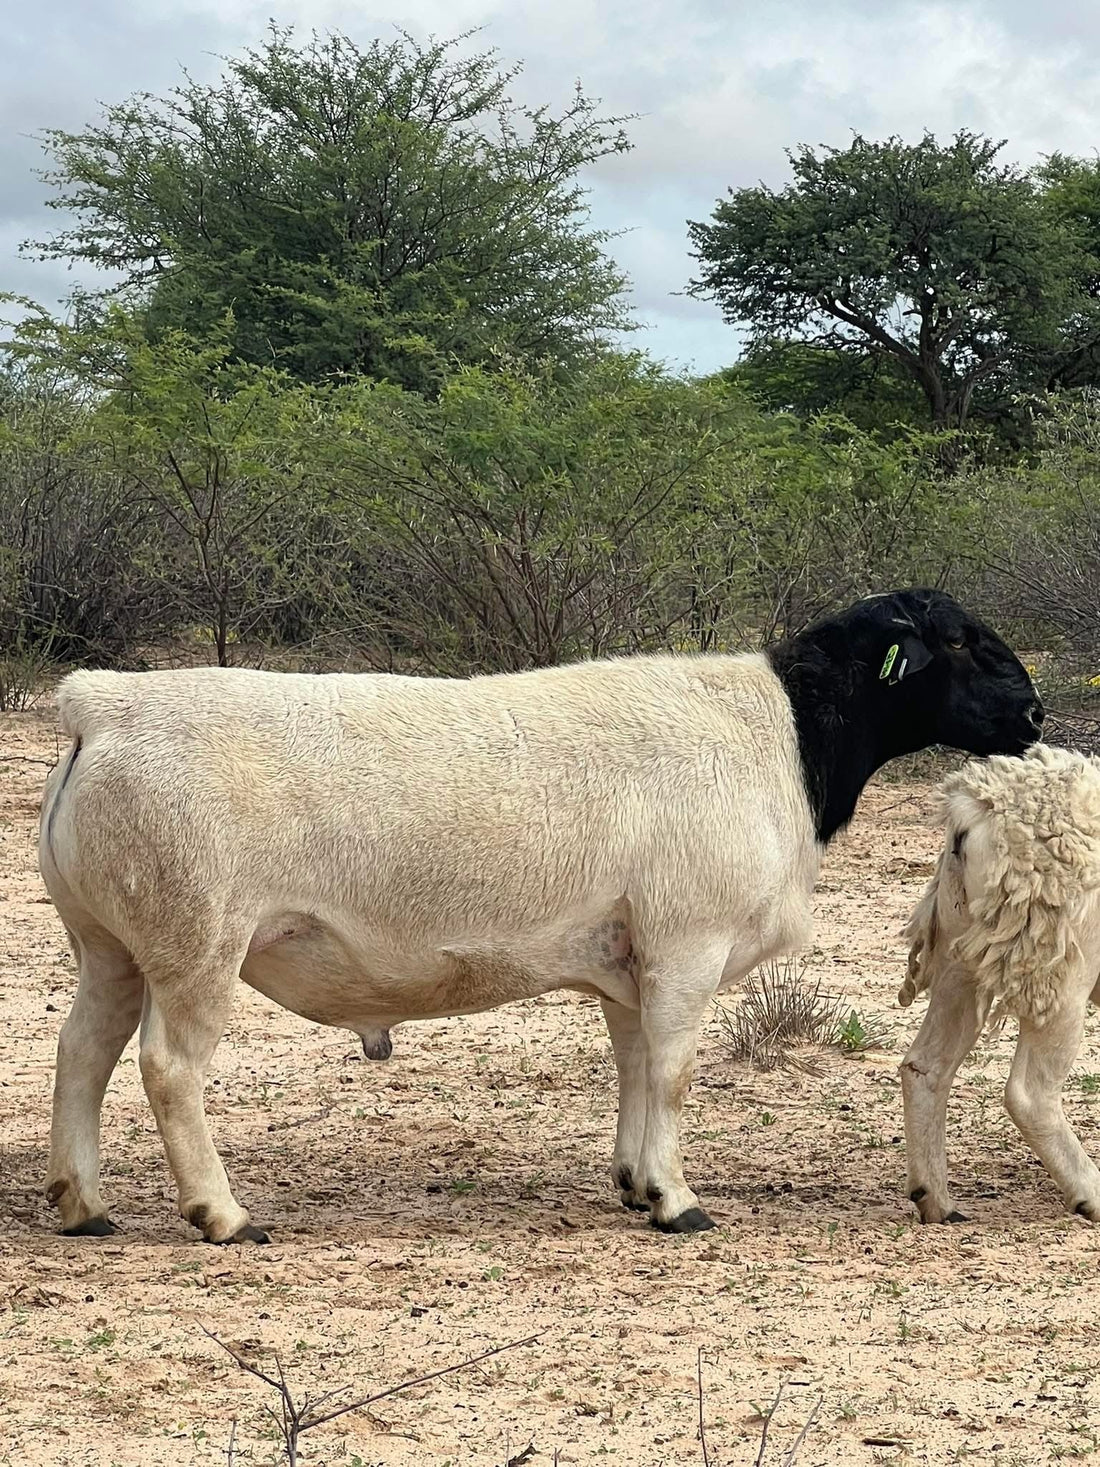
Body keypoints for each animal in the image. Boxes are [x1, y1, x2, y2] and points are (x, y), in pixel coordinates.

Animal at [38, 588, 1041, 1245]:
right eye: (961, 640)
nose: (1034, 713)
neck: (787, 732)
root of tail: (105, 704)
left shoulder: (631, 957)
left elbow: (635, 1065)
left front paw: (637, 1182)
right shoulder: (687, 944)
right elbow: (674, 1071)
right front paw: (678, 1199)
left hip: (108, 941)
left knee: (82, 1052)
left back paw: (84, 1206)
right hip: (196, 942)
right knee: (168, 1069)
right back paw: (222, 1213)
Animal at [900, 743, 1100, 1225]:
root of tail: (978, 807)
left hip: (962, 953)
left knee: (924, 1066)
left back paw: (936, 1200)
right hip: (1058, 968)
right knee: (1030, 1095)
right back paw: (1091, 1193)